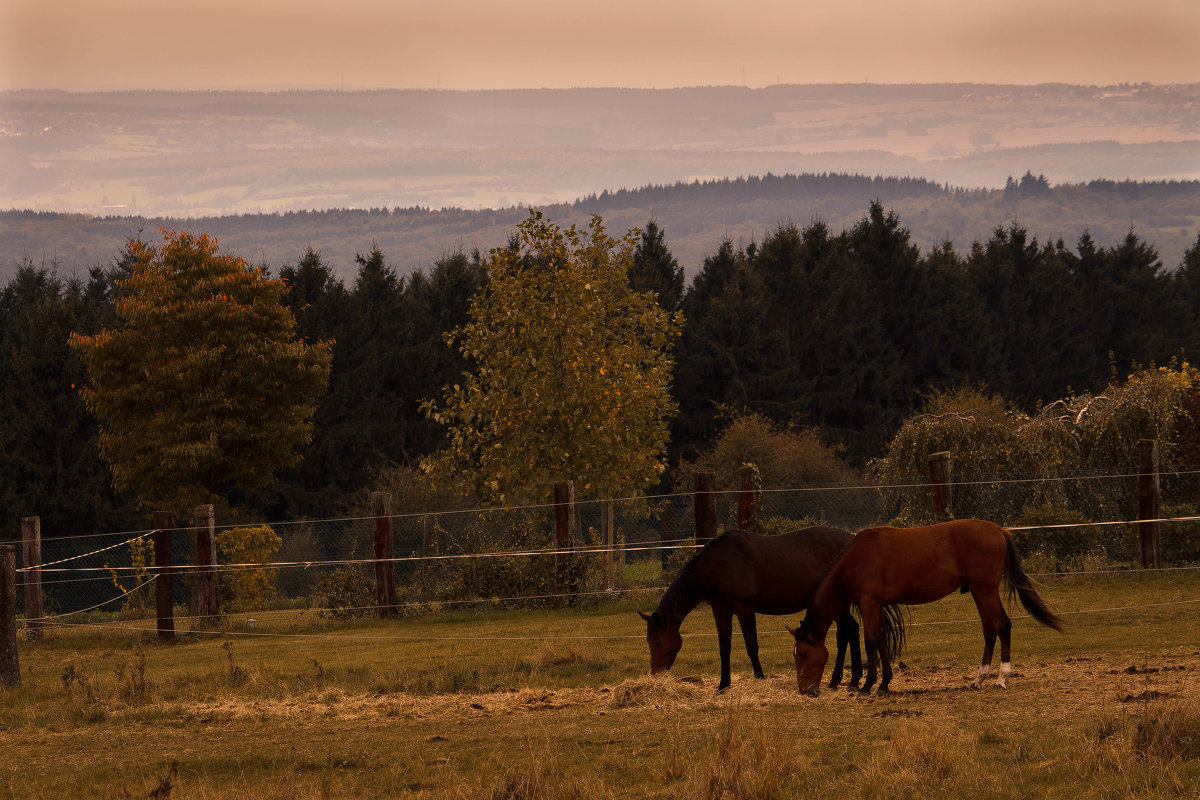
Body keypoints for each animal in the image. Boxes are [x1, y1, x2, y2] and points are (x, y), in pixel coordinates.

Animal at [643, 525, 859, 695]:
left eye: (658, 641)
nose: (654, 673)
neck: (719, 564)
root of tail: (851, 539)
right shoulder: (721, 611)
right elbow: (724, 648)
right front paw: (723, 685)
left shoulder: (744, 609)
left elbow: (752, 646)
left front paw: (760, 678)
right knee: (851, 630)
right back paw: (849, 680)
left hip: (838, 604)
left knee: (846, 633)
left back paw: (839, 681)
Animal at [792, 520, 1065, 695]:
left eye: (803, 654)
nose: (805, 690)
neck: (857, 557)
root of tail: (998, 530)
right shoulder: (877, 606)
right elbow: (881, 642)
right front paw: (884, 684)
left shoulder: (869, 604)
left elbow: (870, 642)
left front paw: (867, 685)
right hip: (978, 592)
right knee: (989, 631)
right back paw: (978, 679)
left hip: (986, 590)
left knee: (1003, 626)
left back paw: (1001, 678)